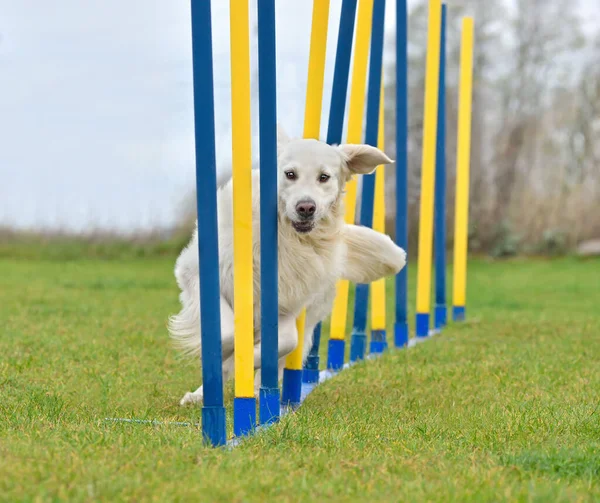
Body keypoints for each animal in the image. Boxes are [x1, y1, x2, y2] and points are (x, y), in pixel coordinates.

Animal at [169, 126, 408, 406]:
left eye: (324, 177)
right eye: (290, 174)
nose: (306, 207)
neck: (286, 237)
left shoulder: (286, 305)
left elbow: (286, 342)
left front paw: (252, 357)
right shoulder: (196, 275)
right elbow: (226, 333)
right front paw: (232, 355)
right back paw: (199, 395)